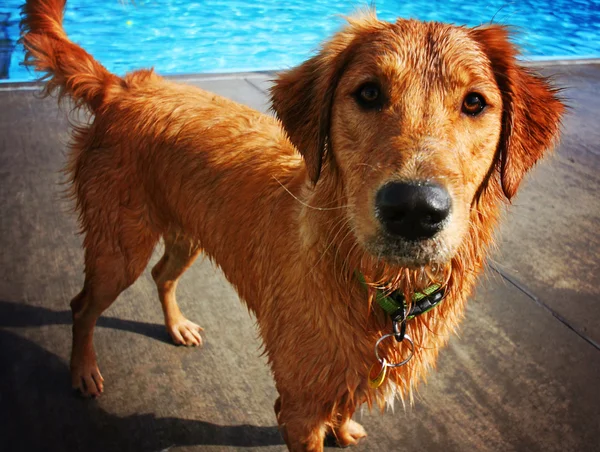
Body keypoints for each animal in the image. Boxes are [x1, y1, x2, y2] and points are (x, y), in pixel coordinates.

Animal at [18, 1, 564, 450]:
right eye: (368, 92)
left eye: (475, 103)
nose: (414, 209)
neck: (380, 288)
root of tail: (122, 88)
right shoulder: (297, 410)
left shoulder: (349, 374)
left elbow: (345, 403)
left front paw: (345, 428)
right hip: (119, 246)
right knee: (83, 305)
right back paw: (83, 371)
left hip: (185, 233)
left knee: (161, 275)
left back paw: (176, 326)